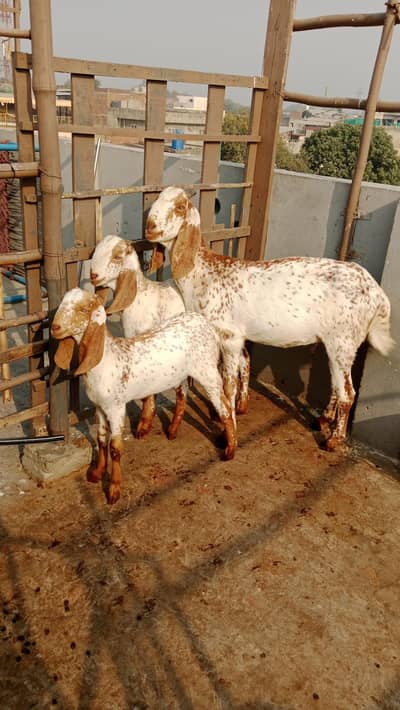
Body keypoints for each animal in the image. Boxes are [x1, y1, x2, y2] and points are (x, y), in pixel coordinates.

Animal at [51, 288, 237, 504]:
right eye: (62, 303)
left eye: (83, 308)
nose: (55, 327)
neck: (108, 358)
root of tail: (206, 323)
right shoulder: (100, 406)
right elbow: (101, 439)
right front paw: (96, 474)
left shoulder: (116, 407)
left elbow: (115, 447)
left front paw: (114, 490)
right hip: (181, 373)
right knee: (182, 395)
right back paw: (172, 431)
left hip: (207, 371)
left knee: (224, 405)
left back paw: (230, 449)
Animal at [145, 186, 394, 450]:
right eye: (157, 198)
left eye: (180, 207)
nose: (150, 226)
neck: (204, 273)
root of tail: (377, 294)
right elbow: (243, 366)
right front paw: (238, 410)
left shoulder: (229, 337)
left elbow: (228, 386)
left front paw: (226, 433)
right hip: (337, 343)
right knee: (338, 387)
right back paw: (322, 420)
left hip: (343, 340)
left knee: (348, 393)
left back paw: (333, 440)